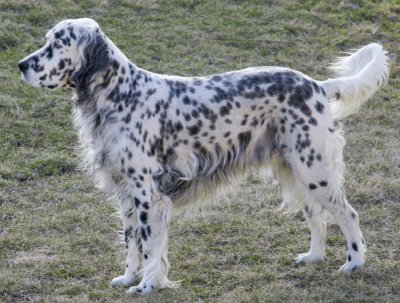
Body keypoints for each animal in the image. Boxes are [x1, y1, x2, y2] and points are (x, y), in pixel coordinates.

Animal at [20, 18, 390, 294]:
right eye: (47, 40)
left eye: (57, 44)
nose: (21, 65)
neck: (122, 96)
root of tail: (318, 85)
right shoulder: (126, 195)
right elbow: (131, 244)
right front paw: (127, 278)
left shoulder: (149, 196)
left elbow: (150, 247)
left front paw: (146, 286)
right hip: (294, 171)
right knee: (317, 216)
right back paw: (313, 257)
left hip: (314, 170)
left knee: (348, 214)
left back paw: (354, 263)